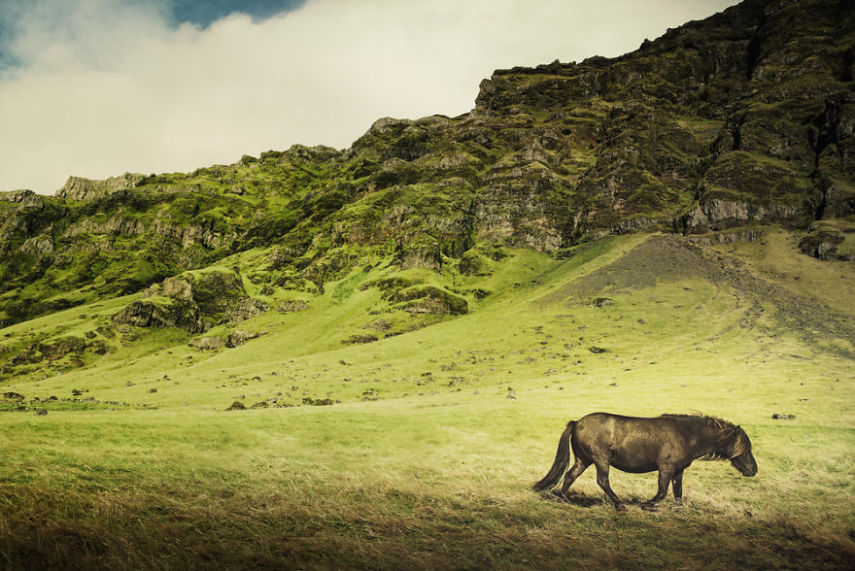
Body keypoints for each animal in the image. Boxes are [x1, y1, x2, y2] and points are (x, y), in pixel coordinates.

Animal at [532, 414, 760, 512]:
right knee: (602, 481)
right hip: (600, 459)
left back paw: (564, 499)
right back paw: (620, 505)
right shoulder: (666, 468)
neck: (687, 435)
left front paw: (678, 509)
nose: (753, 469)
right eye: (746, 448)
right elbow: (662, 491)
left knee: (570, 475)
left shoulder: (678, 470)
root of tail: (577, 422)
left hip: (584, 459)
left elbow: (678, 492)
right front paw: (646, 505)